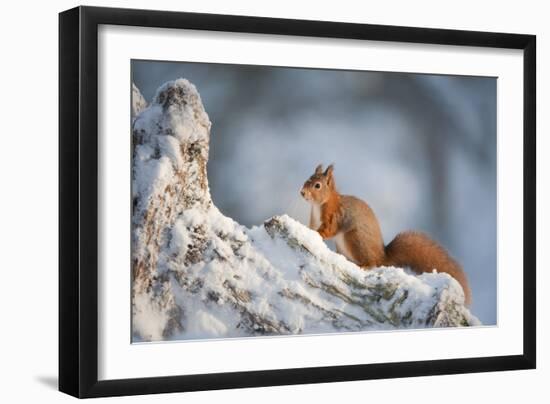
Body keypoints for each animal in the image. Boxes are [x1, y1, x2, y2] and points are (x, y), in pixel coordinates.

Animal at [302, 163, 474, 304]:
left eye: (317, 185)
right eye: (307, 179)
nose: (302, 192)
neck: (320, 205)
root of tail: (382, 257)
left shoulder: (335, 217)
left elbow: (328, 230)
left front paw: (317, 234)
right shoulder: (313, 219)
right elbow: (311, 227)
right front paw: (308, 230)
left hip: (355, 240)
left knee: (371, 263)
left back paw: (364, 265)